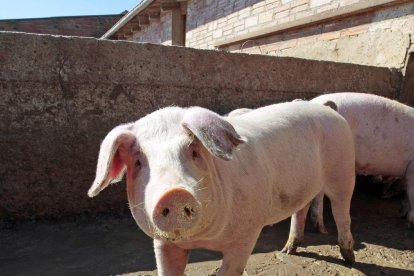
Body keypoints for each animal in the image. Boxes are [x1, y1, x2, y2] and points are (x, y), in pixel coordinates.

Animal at [87, 102, 356, 276]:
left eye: (194, 152)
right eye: (138, 162)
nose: (174, 194)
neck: (205, 240)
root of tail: (329, 110)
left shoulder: (247, 234)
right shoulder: (163, 243)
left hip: (343, 170)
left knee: (342, 211)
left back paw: (349, 259)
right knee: (300, 209)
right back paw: (288, 250)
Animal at [310, 91, 414, 232]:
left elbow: (407, 196)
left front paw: (402, 213)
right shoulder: (412, 168)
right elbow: (411, 194)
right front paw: (410, 223)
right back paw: (322, 229)